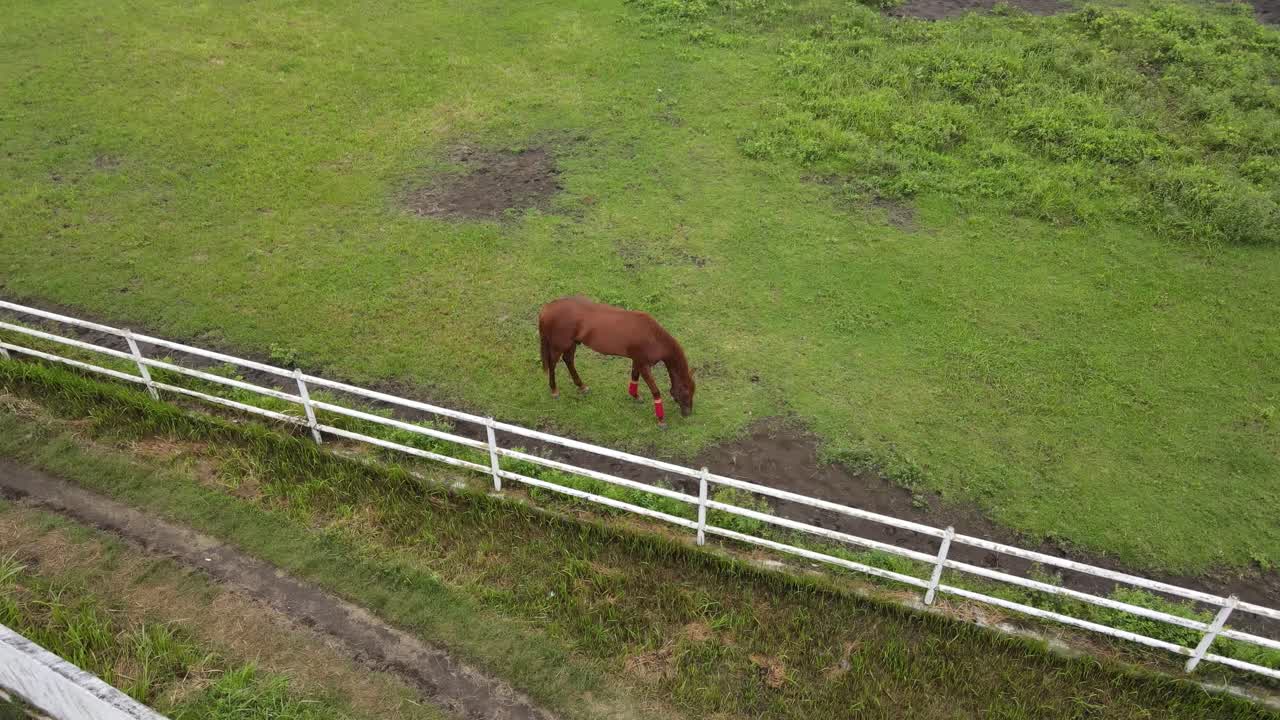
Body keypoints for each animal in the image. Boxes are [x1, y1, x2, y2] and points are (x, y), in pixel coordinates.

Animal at [538, 296, 695, 426]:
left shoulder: (637, 361)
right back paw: (554, 390)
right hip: (560, 345)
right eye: (686, 392)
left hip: (572, 343)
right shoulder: (644, 365)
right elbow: (655, 391)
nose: (688, 414)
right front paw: (661, 420)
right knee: (553, 364)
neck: (653, 337)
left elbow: (634, 377)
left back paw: (582, 386)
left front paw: (635, 396)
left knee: (568, 360)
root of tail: (547, 308)